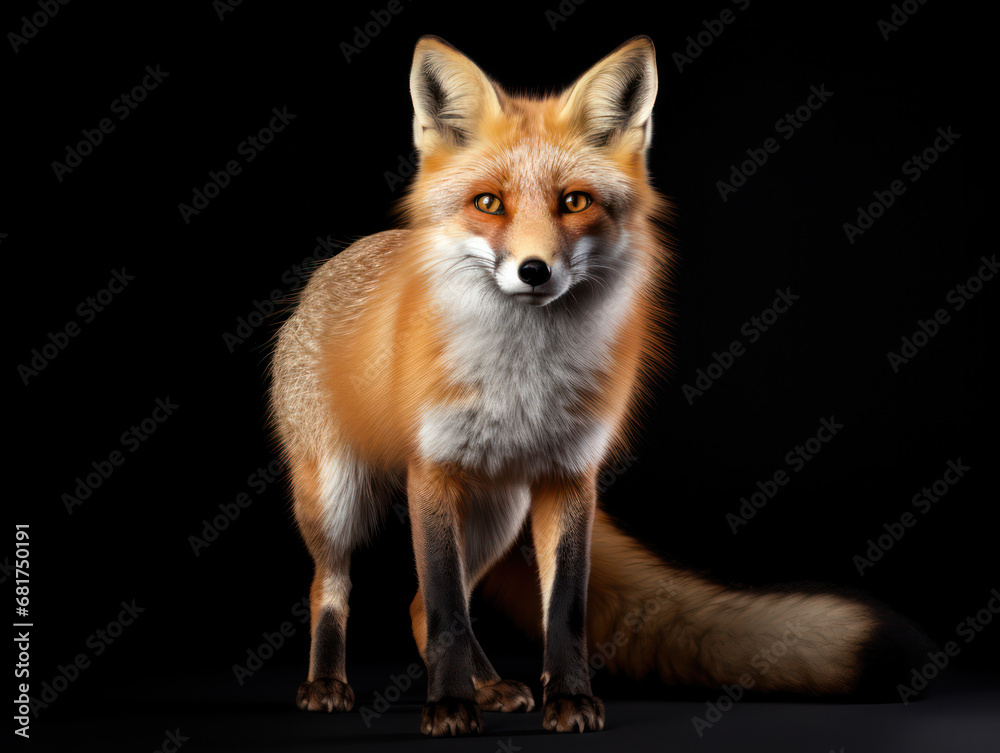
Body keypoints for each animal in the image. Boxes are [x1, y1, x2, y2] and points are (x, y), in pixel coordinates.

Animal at [270, 35, 933, 736]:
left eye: (574, 202)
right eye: (489, 204)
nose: (534, 270)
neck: (522, 380)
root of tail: (335, 264)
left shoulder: (569, 477)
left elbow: (561, 611)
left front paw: (568, 700)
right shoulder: (434, 472)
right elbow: (450, 612)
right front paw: (448, 708)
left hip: (496, 514)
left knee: (420, 606)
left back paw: (489, 687)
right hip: (338, 497)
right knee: (336, 588)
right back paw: (330, 684)